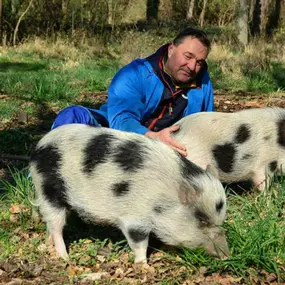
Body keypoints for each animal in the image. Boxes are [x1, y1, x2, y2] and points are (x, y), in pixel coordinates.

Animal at [30, 123, 227, 262]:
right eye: (202, 220)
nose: (227, 254)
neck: (166, 193)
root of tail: (39, 146)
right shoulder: (134, 216)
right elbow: (139, 242)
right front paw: (144, 265)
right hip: (47, 190)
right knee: (55, 224)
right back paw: (65, 257)